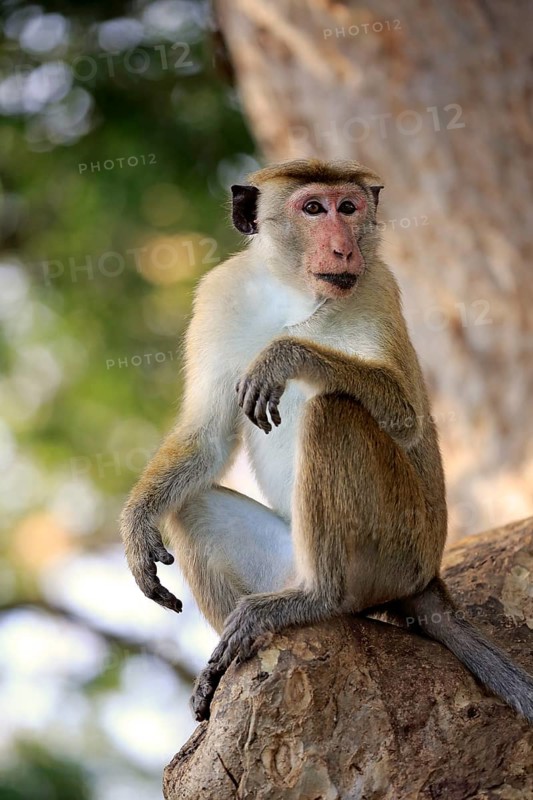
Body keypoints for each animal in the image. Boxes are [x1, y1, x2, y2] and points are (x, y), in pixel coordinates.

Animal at [120, 158, 533, 725]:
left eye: (349, 207)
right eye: (314, 208)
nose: (344, 249)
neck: (295, 291)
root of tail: (428, 579)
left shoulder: (377, 284)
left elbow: (407, 417)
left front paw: (285, 354)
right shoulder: (219, 295)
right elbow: (206, 436)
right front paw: (137, 525)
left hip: (398, 551)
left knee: (334, 412)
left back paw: (319, 599)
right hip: (287, 560)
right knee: (189, 505)